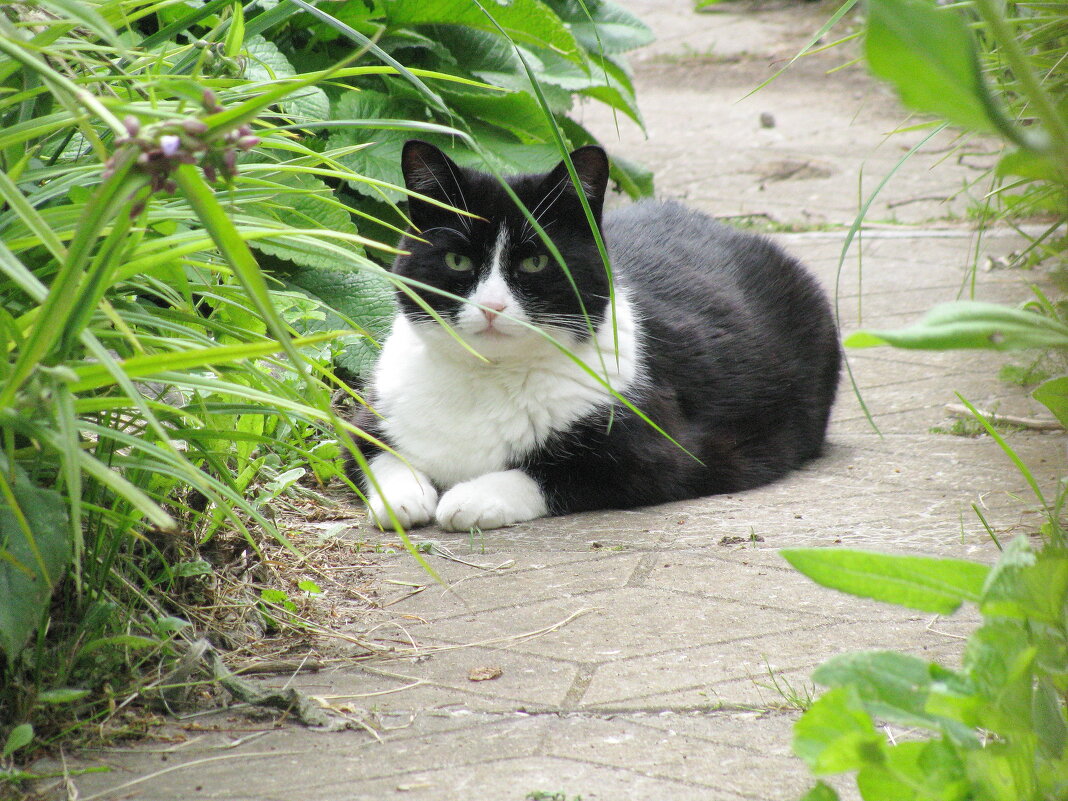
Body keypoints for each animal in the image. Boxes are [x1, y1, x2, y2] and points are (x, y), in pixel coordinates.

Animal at [350, 139, 841, 529]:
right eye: (457, 261)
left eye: (535, 262)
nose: (493, 307)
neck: (487, 378)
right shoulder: (367, 415)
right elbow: (375, 454)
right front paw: (403, 498)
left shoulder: (660, 453)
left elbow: (552, 473)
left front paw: (470, 497)